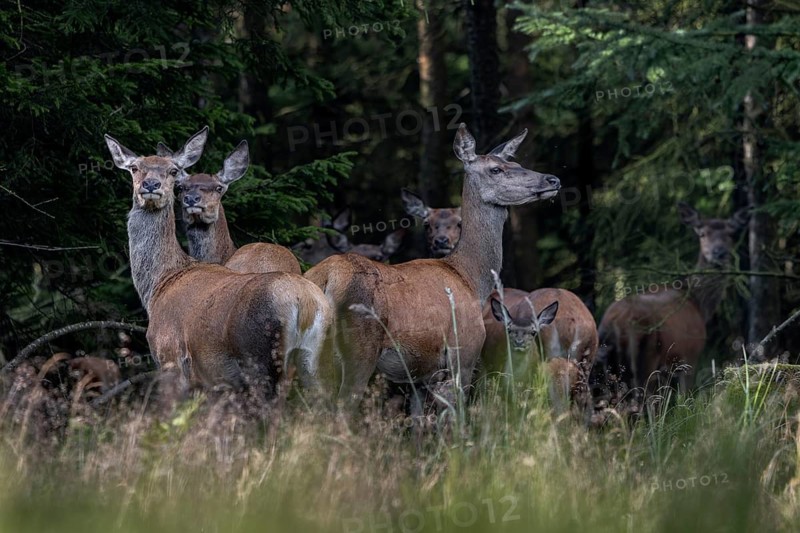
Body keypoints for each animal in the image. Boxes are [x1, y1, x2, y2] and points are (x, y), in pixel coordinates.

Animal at [304, 124, 561, 408]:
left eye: (515, 162)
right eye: (496, 169)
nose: (553, 180)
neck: (471, 279)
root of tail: (327, 279)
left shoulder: (419, 373)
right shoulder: (465, 352)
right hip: (359, 350)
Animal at [596, 202, 749, 394]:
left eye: (730, 234)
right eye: (702, 234)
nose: (718, 252)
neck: (698, 303)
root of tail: (613, 322)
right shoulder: (691, 355)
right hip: (646, 354)